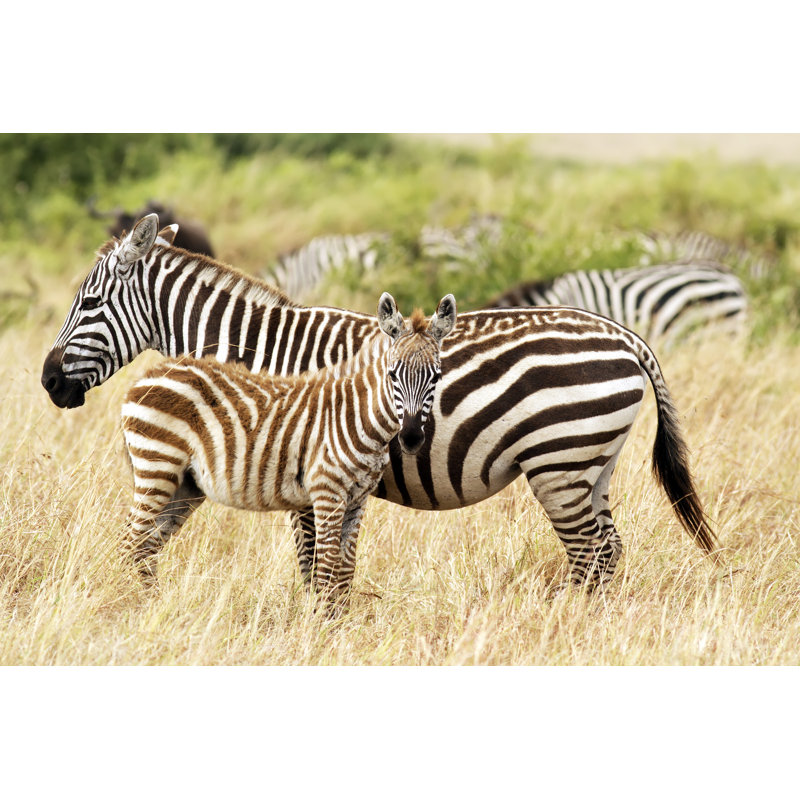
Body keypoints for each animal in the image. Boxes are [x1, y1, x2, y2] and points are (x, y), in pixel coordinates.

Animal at [121, 292, 455, 607]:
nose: (410, 438)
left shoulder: (358, 499)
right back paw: (137, 605)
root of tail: (146, 377)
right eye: (392, 374)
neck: (358, 415)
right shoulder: (327, 493)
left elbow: (346, 570)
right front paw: (322, 624)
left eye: (437, 376)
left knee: (145, 545)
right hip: (157, 466)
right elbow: (327, 568)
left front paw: (341, 622)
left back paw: (154, 603)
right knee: (130, 541)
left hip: (184, 484)